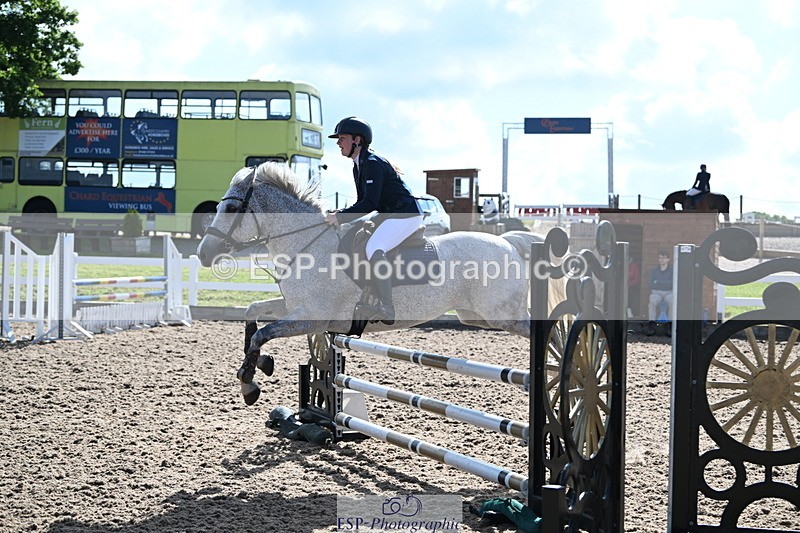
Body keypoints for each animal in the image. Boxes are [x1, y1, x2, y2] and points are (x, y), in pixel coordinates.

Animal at [197, 162, 566, 405]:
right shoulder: (294, 308)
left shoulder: (312, 318)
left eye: (231, 208)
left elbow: (263, 332)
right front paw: (259, 366)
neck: (308, 244)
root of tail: (508, 242)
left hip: (501, 313)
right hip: (476, 315)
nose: (203, 253)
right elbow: (252, 315)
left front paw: (249, 383)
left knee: (544, 332)